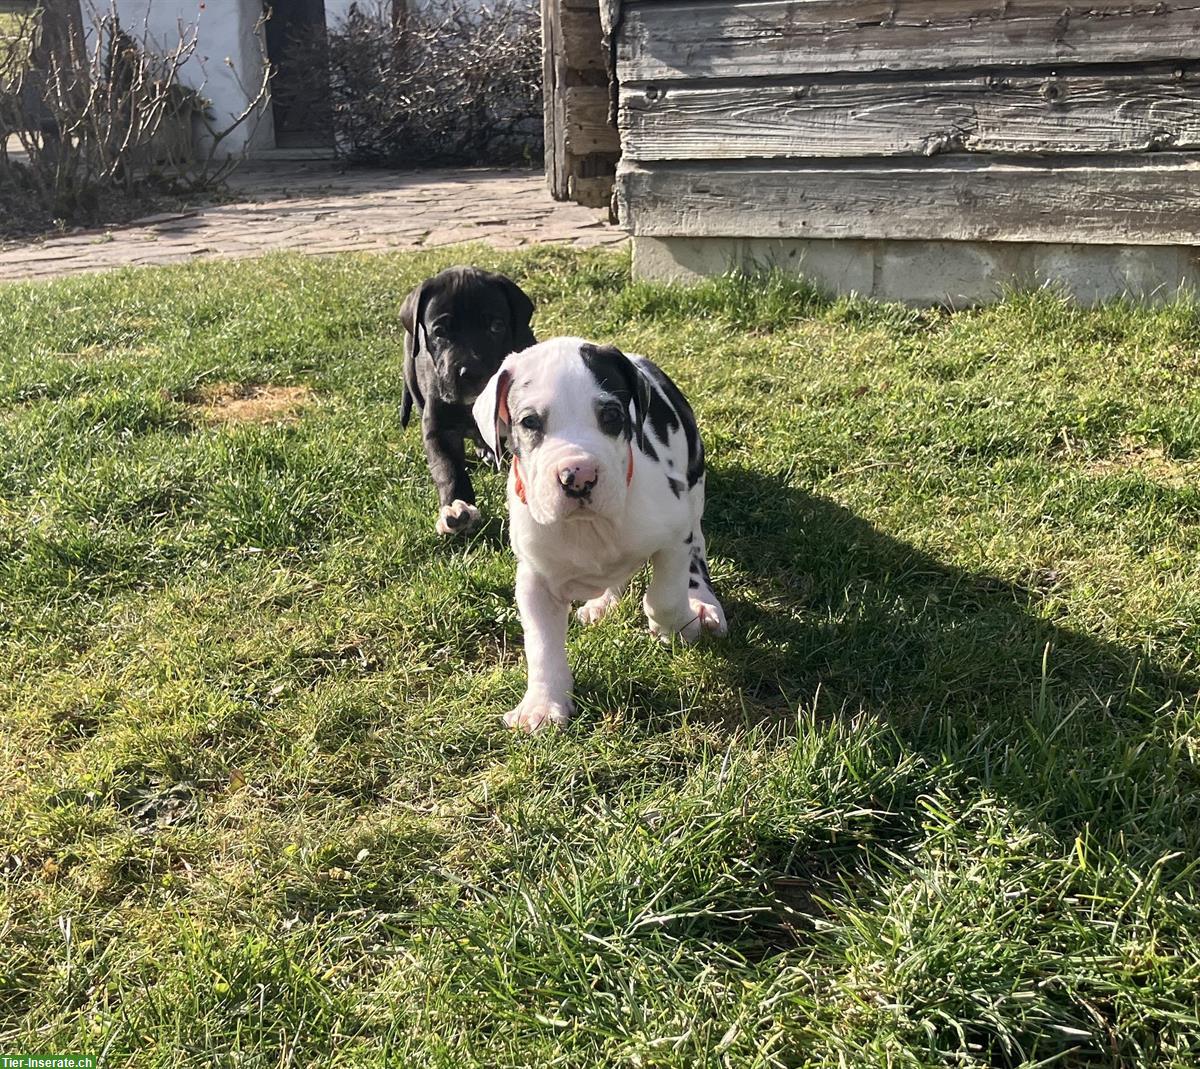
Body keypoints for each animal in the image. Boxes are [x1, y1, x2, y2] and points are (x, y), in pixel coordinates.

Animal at [400, 267, 537, 535]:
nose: (470, 372)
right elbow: (448, 469)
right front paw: (456, 507)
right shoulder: (439, 429)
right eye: (440, 331)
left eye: (496, 326)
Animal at [472, 338, 724, 729]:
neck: (587, 526)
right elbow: (541, 646)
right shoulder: (534, 581)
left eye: (612, 416)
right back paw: (604, 602)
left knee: (696, 555)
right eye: (529, 422)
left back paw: (702, 603)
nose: (578, 476)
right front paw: (542, 705)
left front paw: (678, 628)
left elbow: (664, 596)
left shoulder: (673, 536)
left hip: (694, 488)